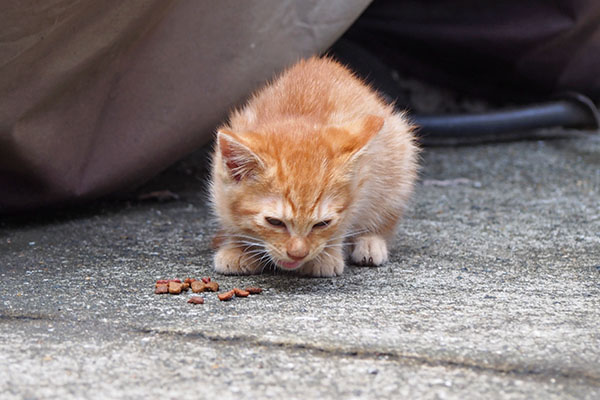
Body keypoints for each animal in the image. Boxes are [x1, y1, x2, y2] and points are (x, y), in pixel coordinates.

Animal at [209, 56, 420, 276]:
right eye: (274, 222)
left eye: (322, 224)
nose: (298, 254)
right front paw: (237, 247)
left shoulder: (361, 181)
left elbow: (347, 218)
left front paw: (325, 256)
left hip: (399, 157)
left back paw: (370, 241)